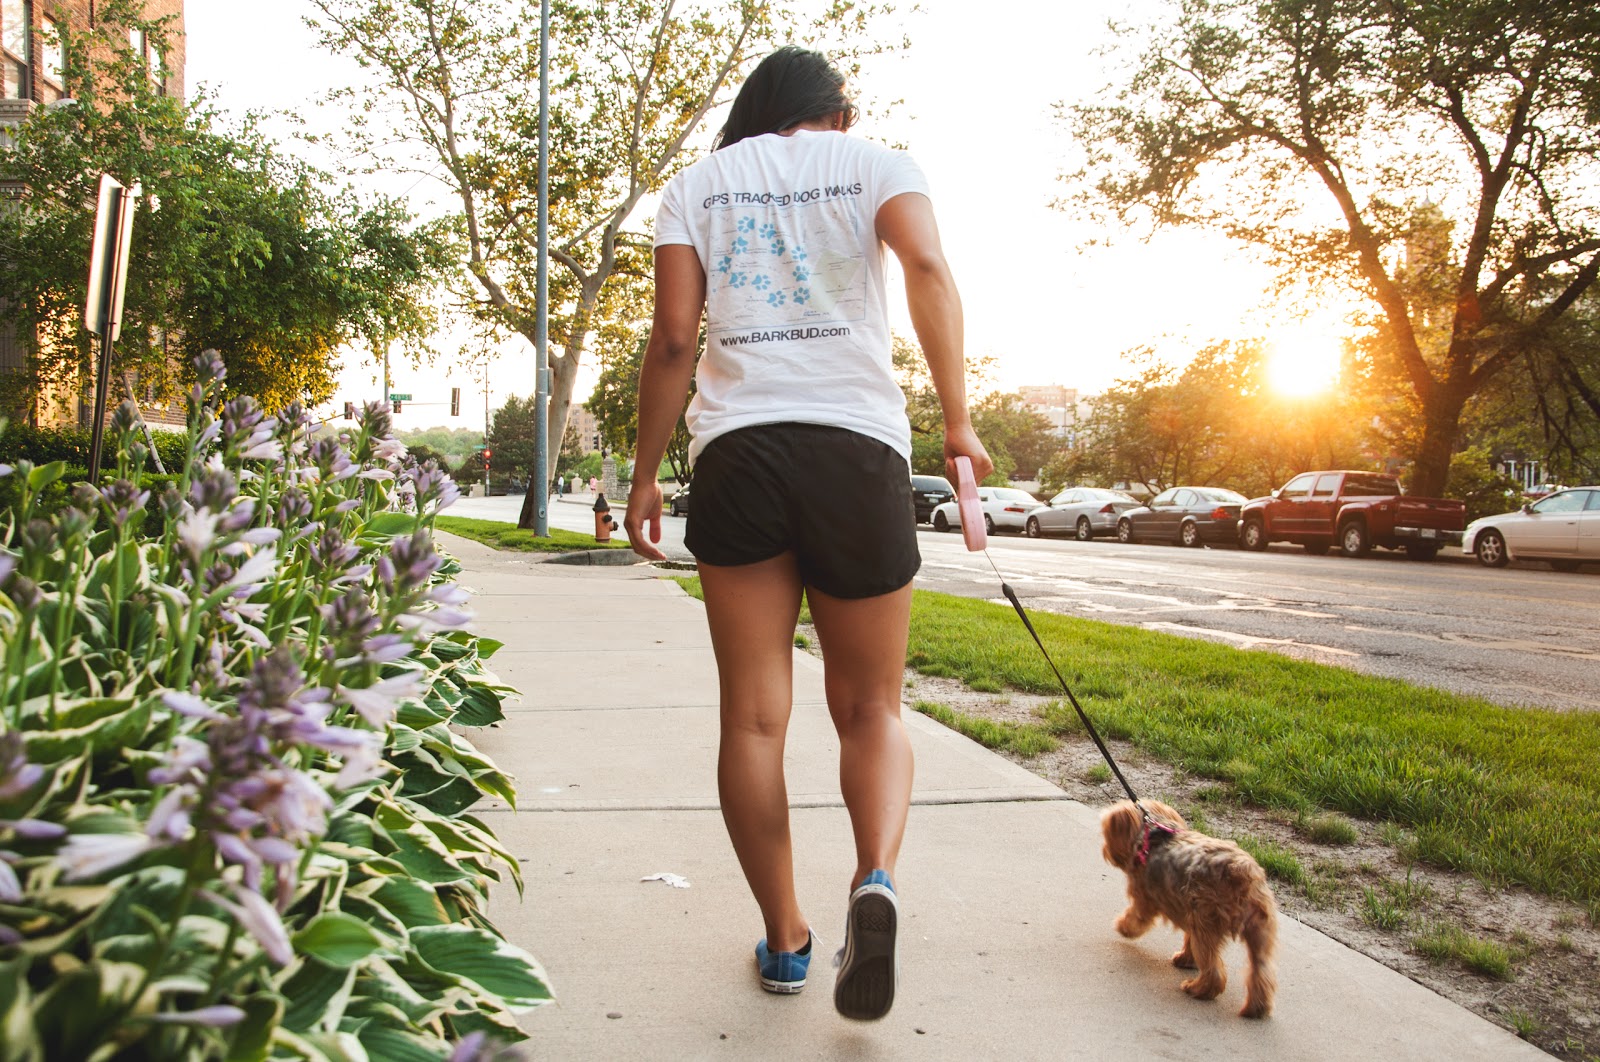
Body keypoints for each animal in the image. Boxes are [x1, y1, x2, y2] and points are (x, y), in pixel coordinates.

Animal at [1100, 799, 1273, 1017]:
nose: (1105, 851)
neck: (1153, 835)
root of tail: (1241, 872)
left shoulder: (1145, 899)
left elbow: (1136, 918)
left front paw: (1123, 927)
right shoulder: (1190, 913)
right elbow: (1188, 941)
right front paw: (1185, 958)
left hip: (1207, 925)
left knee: (1214, 971)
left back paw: (1197, 989)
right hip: (1259, 931)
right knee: (1261, 973)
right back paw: (1255, 1008)